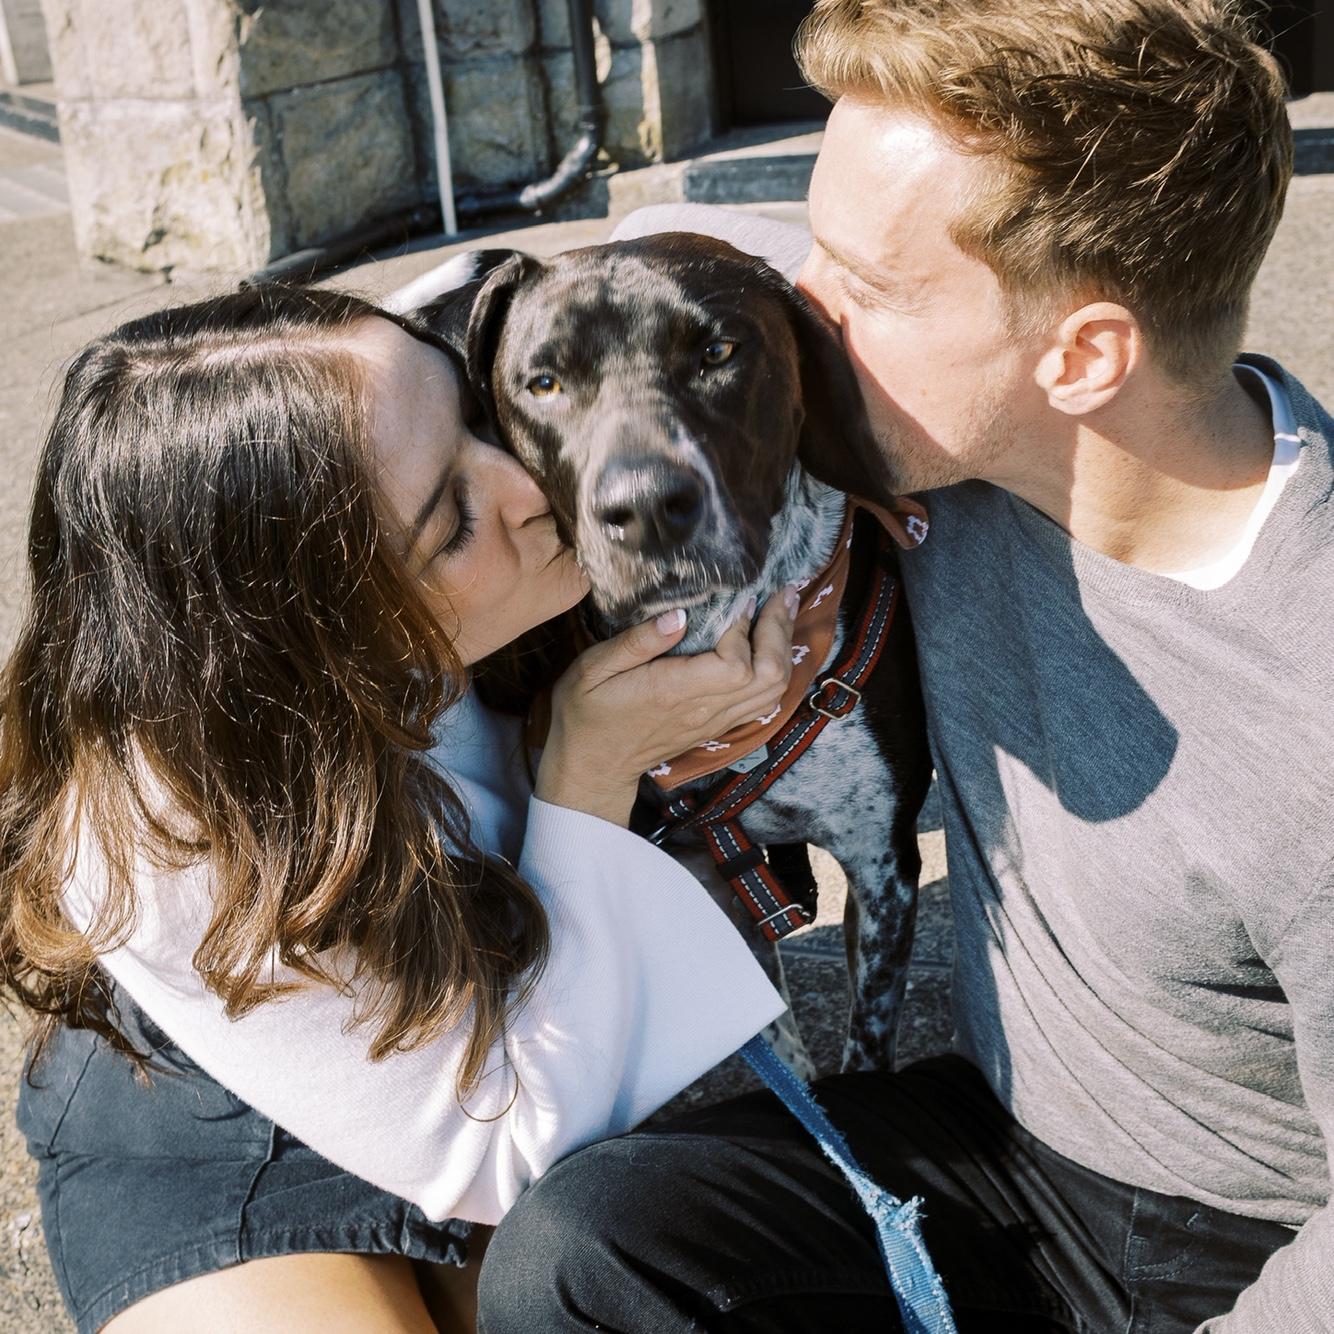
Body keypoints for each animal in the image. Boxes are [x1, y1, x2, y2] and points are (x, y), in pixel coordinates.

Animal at [411, 233, 932, 1075]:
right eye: (544, 382)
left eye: (718, 352)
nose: (648, 508)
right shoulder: (697, 870)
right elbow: (776, 1034)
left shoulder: (882, 862)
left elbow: (867, 1037)